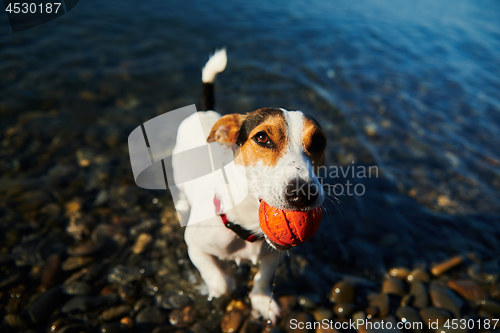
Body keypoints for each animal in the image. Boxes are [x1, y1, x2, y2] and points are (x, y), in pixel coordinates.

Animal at [172, 49, 328, 322]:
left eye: (319, 142)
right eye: (262, 137)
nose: (303, 193)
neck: (246, 224)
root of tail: (204, 112)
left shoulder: (272, 255)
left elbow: (263, 279)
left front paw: (262, 302)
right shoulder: (195, 247)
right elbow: (220, 281)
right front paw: (222, 285)